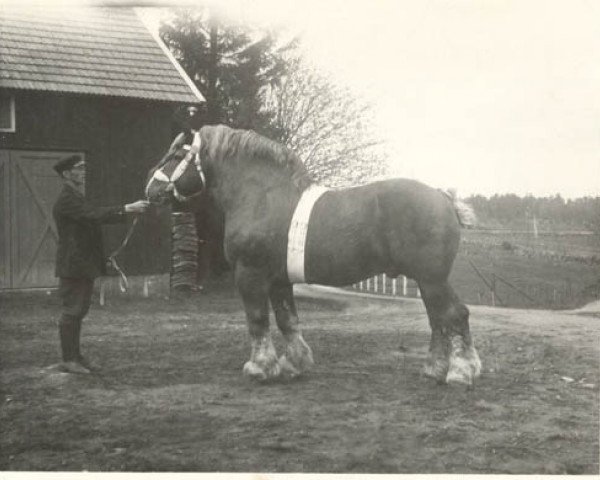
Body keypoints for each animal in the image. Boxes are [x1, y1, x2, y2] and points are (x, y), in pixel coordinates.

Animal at [145, 124, 482, 386]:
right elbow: (287, 320)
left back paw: (460, 372)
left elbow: (257, 319)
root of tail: (443, 197)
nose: (150, 188)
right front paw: (294, 364)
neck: (261, 196)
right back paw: (434, 370)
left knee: (453, 315)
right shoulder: (279, 280)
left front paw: (259, 368)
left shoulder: (250, 274)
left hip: (432, 279)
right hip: (427, 281)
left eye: (177, 156)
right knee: (439, 320)